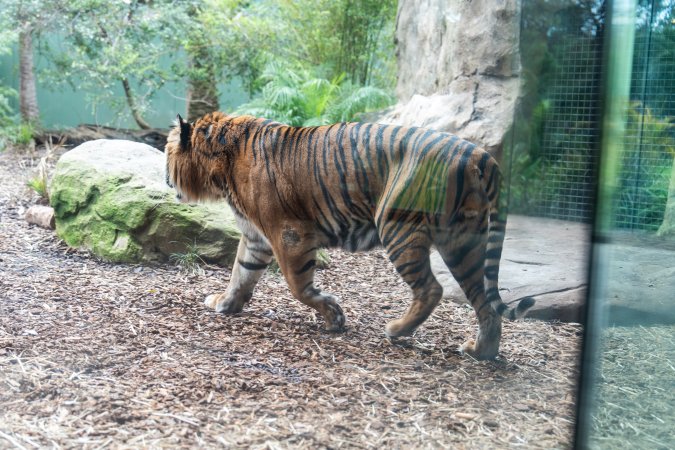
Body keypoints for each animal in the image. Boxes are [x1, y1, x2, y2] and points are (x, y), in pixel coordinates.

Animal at [165, 111, 535, 360]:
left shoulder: (289, 233)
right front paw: (225, 303)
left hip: (399, 228)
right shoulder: (255, 237)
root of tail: (480, 155)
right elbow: (240, 274)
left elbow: (298, 286)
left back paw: (396, 330)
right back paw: (481, 351)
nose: (166, 181)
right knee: (484, 301)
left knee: (432, 289)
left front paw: (334, 317)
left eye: (168, 155)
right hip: (464, 242)